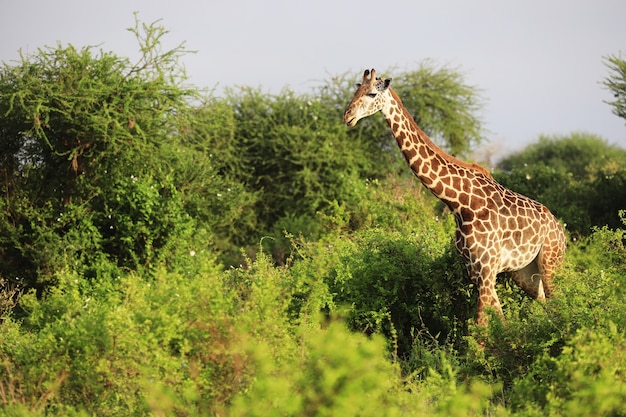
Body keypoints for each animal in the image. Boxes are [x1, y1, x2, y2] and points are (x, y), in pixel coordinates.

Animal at [342, 68, 564, 324]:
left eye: (371, 94)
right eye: (355, 91)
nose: (347, 116)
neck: (459, 203)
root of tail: (560, 229)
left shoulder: (486, 270)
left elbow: (481, 328)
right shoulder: (477, 272)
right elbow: (500, 322)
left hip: (551, 263)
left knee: (559, 303)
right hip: (525, 272)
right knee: (544, 303)